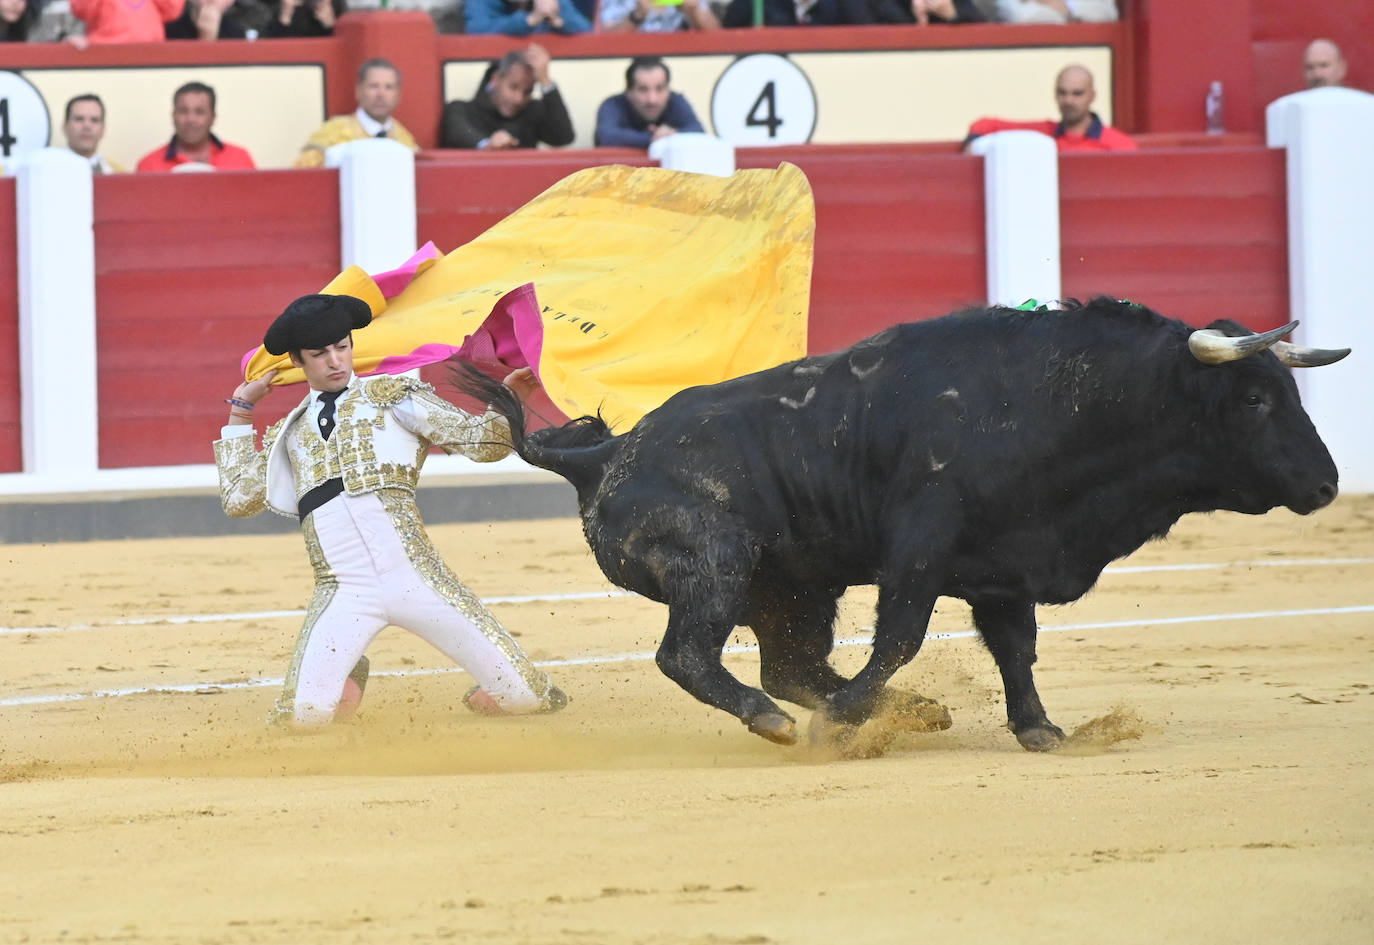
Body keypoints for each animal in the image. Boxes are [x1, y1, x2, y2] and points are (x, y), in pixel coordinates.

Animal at [456, 299, 1346, 747]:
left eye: (1289, 391)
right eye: (1255, 397)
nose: (1330, 481)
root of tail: (604, 455)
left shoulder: (1005, 566)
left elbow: (1015, 649)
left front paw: (1039, 728)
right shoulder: (920, 547)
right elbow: (902, 636)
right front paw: (847, 722)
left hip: (793, 587)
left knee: (788, 662)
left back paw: (906, 710)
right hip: (716, 561)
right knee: (690, 655)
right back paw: (784, 722)